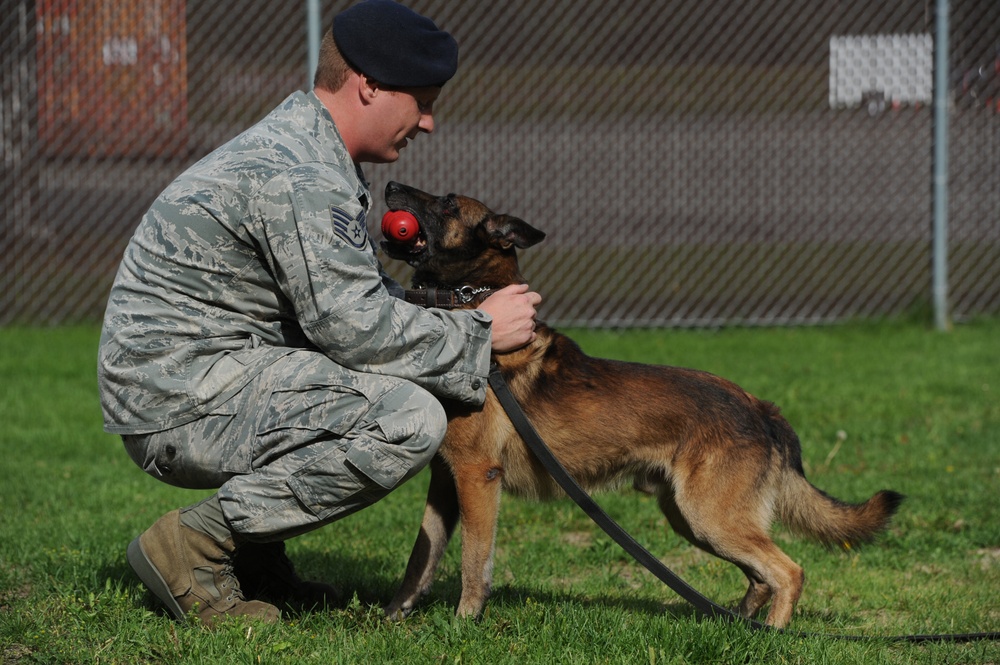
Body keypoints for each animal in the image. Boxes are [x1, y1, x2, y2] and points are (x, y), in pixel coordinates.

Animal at [376, 179, 908, 624]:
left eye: (447, 202)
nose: (390, 184)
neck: (474, 306)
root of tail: (761, 408)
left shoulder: (476, 476)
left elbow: (474, 560)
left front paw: (465, 622)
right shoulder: (445, 481)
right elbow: (421, 557)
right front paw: (394, 617)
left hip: (710, 518)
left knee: (788, 572)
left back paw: (773, 636)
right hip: (694, 520)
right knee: (761, 578)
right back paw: (739, 627)